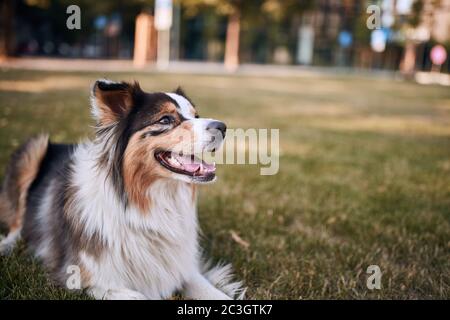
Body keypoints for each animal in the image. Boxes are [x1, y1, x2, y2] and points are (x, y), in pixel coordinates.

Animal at [0, 80, 244, 300]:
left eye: (196, 115)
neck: (149, 201)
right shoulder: (89, 277)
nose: (223, 127)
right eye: (165, 119)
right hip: (34, 148)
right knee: (17, 223)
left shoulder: (179, 265)